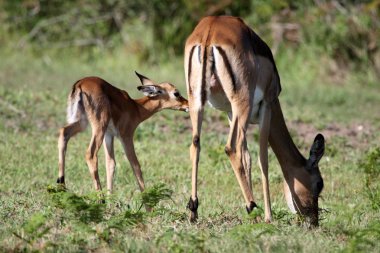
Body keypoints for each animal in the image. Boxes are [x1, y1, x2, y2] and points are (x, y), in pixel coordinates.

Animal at [57, 71, 189, 204]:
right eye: (176, 93)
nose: (187, 104)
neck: (136, 108)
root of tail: (80, 84)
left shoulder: (109, 135)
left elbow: (111, 164)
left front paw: (110, 202)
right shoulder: (126, 136)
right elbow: (135, 165)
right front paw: (148, 206)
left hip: (82, 123)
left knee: (63, 133)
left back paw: (61, 186)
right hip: (98, 126)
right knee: (90, 154)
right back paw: (100, 199)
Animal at [186, 16, 326, 225]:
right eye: (319, 183)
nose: (313, 221)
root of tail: (209, 31)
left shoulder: (230, 114)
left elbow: (247, 158)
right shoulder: (267, 107)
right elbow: (262, 159)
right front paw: (268, 215)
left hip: (197, 100)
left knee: (196, 144)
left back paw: (194, 210)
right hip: (241, 103)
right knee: (230, 148)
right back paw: (253, 206)